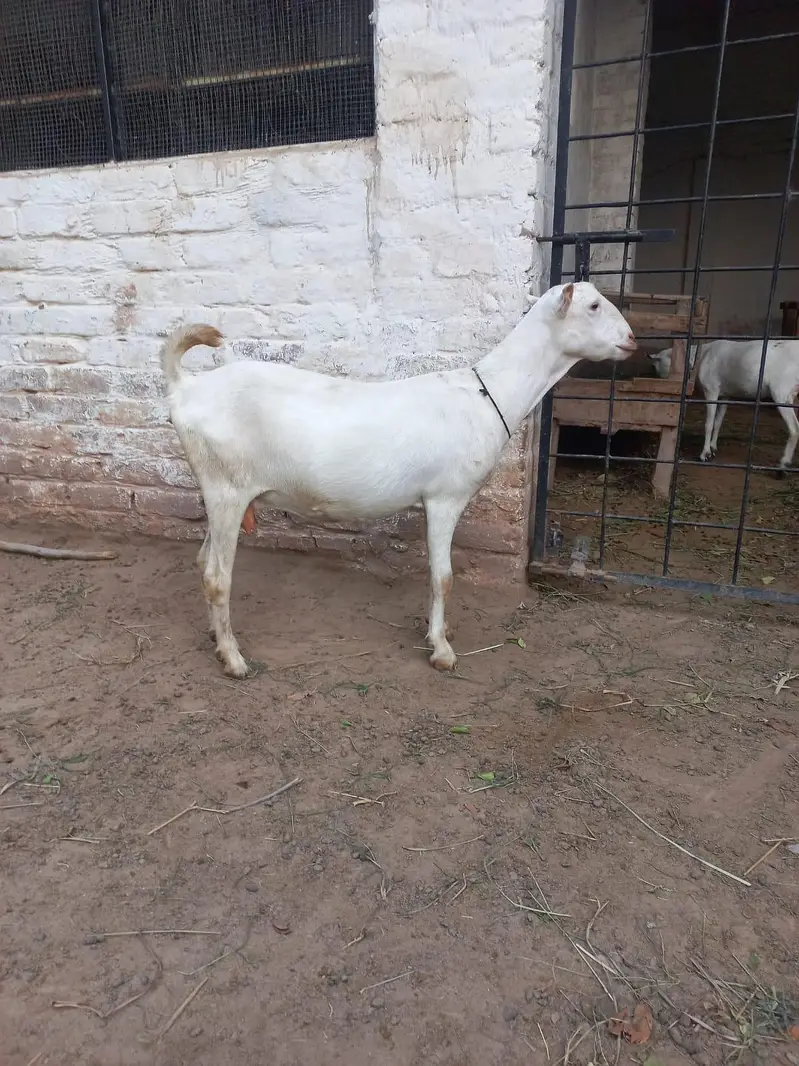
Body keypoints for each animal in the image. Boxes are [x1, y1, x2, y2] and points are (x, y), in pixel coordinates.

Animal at [162, 281, 636, 678]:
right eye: (594, 306)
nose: (632, 339)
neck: (487, 394)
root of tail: (186, 388)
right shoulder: (445, 497)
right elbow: (443, 576)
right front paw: (442, 651)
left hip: (221, 490)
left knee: (203, 562)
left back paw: (217, 638)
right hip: (226, 487)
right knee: (216, 576)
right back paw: (234, 659)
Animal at [649, 340, 799, 474]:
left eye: (657, 365)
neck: (701, 356)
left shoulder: (711, 391)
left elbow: (709, 424)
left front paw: (705, 454)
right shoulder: (725, 396)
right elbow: (718, 422)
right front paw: (713, 447)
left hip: (781, 393)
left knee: (794, 428)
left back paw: (783, 465)